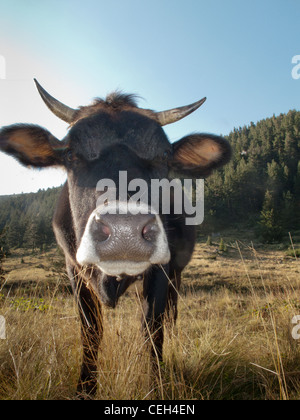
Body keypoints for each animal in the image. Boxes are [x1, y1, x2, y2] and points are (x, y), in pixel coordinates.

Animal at [0, 79, 232, 398]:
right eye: (70, 153)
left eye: (163, 156)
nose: (125, 231)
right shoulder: (73, 269)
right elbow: (91, 331)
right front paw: (85, 388)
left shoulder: (161, 268)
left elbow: (152, 330)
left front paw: (156, 386)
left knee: (169, 312)